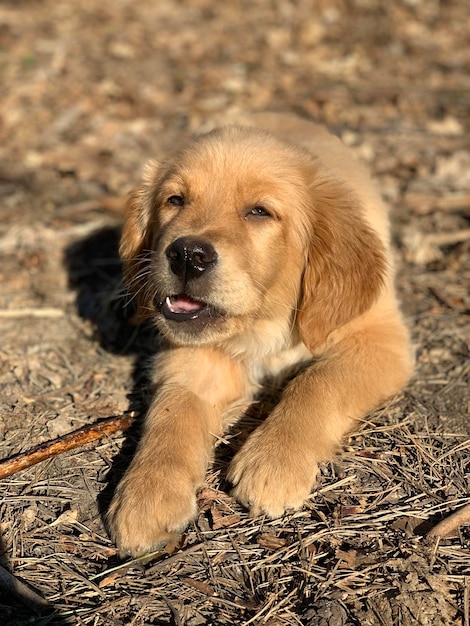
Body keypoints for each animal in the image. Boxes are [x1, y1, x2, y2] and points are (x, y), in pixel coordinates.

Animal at [106, 113, 412, 556]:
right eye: (175, 200)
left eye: (260, 212)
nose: (187, 255)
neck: (264, 325)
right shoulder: (193, 356)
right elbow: (172, 411)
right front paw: (148, 492)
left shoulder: (379, 337)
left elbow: (319, 381)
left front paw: (275, 461)